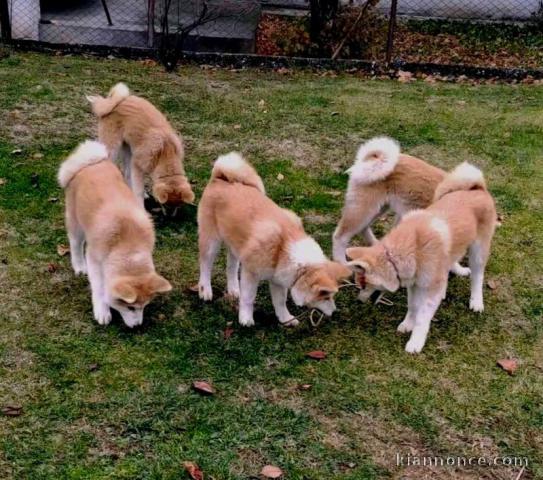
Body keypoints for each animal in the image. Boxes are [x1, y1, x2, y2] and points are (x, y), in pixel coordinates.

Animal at [58, 139, 172, 326]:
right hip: (76, 222)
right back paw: (79, 266)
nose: (138, 326)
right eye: (130, 307)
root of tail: (92, 162)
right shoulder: (94, 259)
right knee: (75, 243)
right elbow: (98, 287)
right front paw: (102, 310)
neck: (127, 244)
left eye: (144, 306)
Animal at [198, 152, 350, 328]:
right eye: (325, 296)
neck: (284, 247)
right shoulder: (251, 273)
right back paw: (205, 290)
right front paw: (245, 318)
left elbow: (280, 302)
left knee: (231, 267)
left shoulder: (278, 279)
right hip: (211, 241)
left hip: (236, 245)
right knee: (205, 265)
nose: (334, 312)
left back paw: (234, 289)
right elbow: (249, 298)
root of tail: (220, 177)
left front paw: (285, 319)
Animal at [332, 135, 472, 278]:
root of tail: (374, 158)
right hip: (363, 210)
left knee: (363, 229)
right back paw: (342, 263)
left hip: (377, 209)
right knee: (340, 236)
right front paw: (459, 269)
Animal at [348, 161, 498, 352]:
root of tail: (478, 188)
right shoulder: (414, 284)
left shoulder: (430, 289)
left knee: (478, 276)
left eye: (364, 284)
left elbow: (422, 318)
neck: (412, 250)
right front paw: (407, 324)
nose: (359, 301)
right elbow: (413, 306)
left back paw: (476, 301)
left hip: (478, 251)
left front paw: (416, 341)